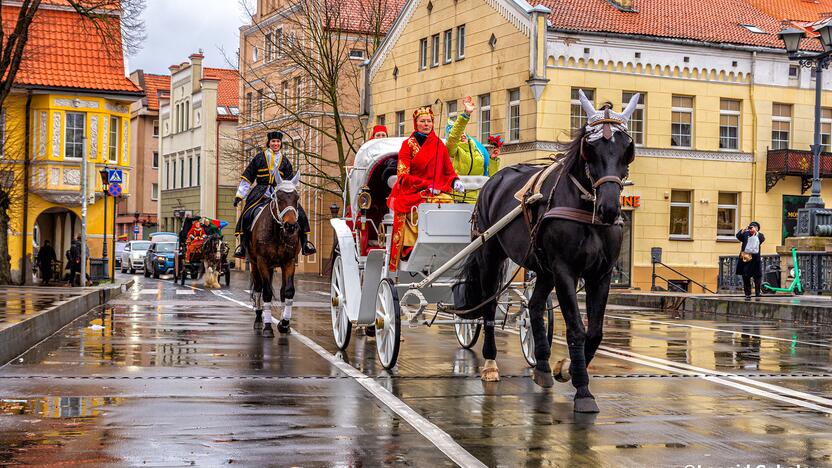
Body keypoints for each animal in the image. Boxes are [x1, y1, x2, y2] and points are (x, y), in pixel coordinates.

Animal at [247, 172, 302, 336]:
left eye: (297, 197)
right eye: (279, 197)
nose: (291, 226)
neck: (278, 232)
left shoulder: (289, 261)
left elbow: (287, 291)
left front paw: (284, 323)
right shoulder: (262, 262)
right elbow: (266, 293)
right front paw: (267, 326)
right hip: (254, 264)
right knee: (259, 289)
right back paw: (259, 319)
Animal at [458, 91, 640, 414]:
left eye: (626, 148)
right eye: (590, 147)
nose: (609, 208)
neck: (586, 210)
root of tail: (494, 180)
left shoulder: (601, 274)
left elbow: (595, 331)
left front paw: (564, 369)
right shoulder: (565, 271)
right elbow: (576, 329)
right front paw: (583, 391)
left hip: (542, 268)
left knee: (533, 306)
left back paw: (541, 366)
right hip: (491, 255)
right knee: (488, 306)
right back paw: (490, 363)